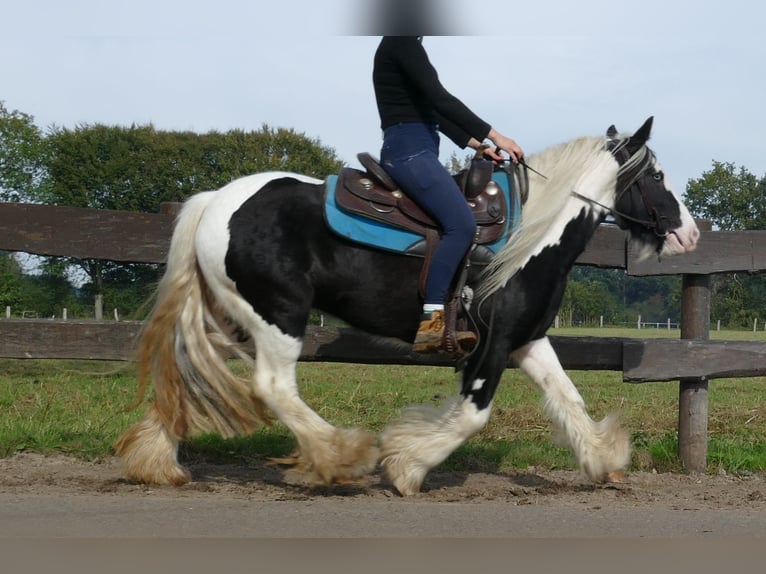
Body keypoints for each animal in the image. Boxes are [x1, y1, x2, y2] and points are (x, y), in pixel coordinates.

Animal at [115, 117, 704, 496]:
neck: (533, 238)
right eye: (657, 177)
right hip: (279, 317)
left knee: (186, 374)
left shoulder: (527, 340)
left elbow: (570, 400)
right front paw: (406, 465)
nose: (691, 235)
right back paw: (343, 456)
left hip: (230, 317)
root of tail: (215, 201)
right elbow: (472, 415)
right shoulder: (491, 345)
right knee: (273, 387)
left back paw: (156, 463)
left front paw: (604, 461)